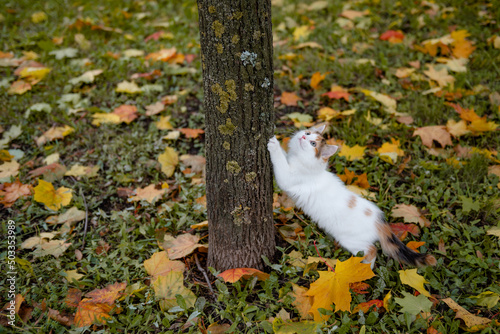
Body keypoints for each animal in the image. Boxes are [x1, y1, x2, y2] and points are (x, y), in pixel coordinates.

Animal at [268, 124, 436, 268]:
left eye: (313, 144)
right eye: (308, 134)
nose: (303, 136)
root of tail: (380, 221)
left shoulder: (288, 178)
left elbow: (280, 161)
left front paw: (274, 144)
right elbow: (284, 156)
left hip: (351, 241)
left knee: (372, 251)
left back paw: (364, 271)